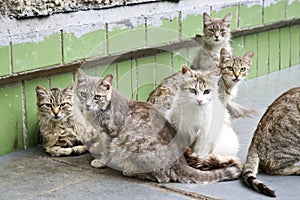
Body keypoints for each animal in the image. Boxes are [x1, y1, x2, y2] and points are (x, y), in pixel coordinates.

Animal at [74, 68, 241, 183]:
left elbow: (107, 151)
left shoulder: (111, 134)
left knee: (162, 176)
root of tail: (180, 162)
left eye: (97, 97)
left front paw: (101, 161)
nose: (87, 105)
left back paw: (130, 171)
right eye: (83, 94)